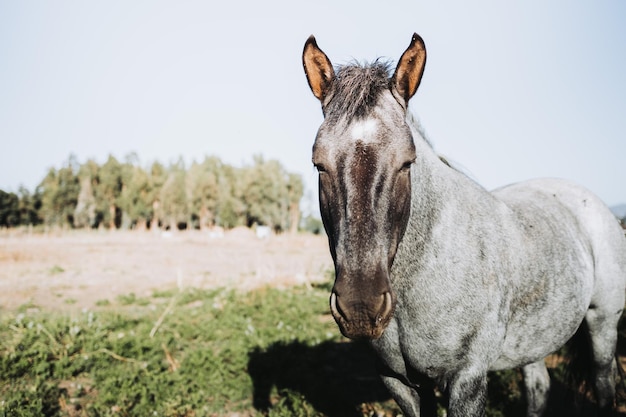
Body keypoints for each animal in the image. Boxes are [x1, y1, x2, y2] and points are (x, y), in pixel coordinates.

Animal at [300, 33, 620, 416]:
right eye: (319, 164)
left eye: (407, 162)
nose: (360, 307)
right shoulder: (399, 383)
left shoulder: (467, 381)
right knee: (538, 387)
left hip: (603, 324)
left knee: (604, 384)